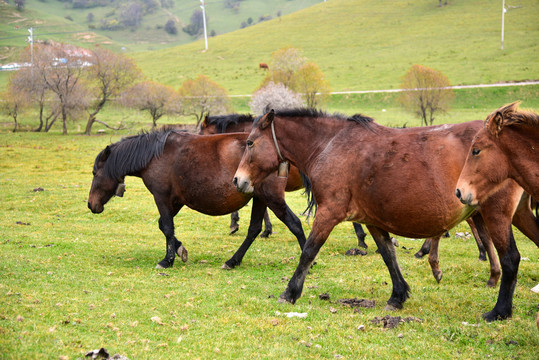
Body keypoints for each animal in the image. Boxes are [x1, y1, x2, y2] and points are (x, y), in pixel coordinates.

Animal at [89, 129, 308, 270]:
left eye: (94, 173)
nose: (91, 204)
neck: (155, 156)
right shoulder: (175, 201)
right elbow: (164, 226)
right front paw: (180, 250)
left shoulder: (162, 198)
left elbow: (167, 227)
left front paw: (167, 260)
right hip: (260, 199)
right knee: (254, 230)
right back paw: (233, 261)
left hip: (271, 198)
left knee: (294, 224)